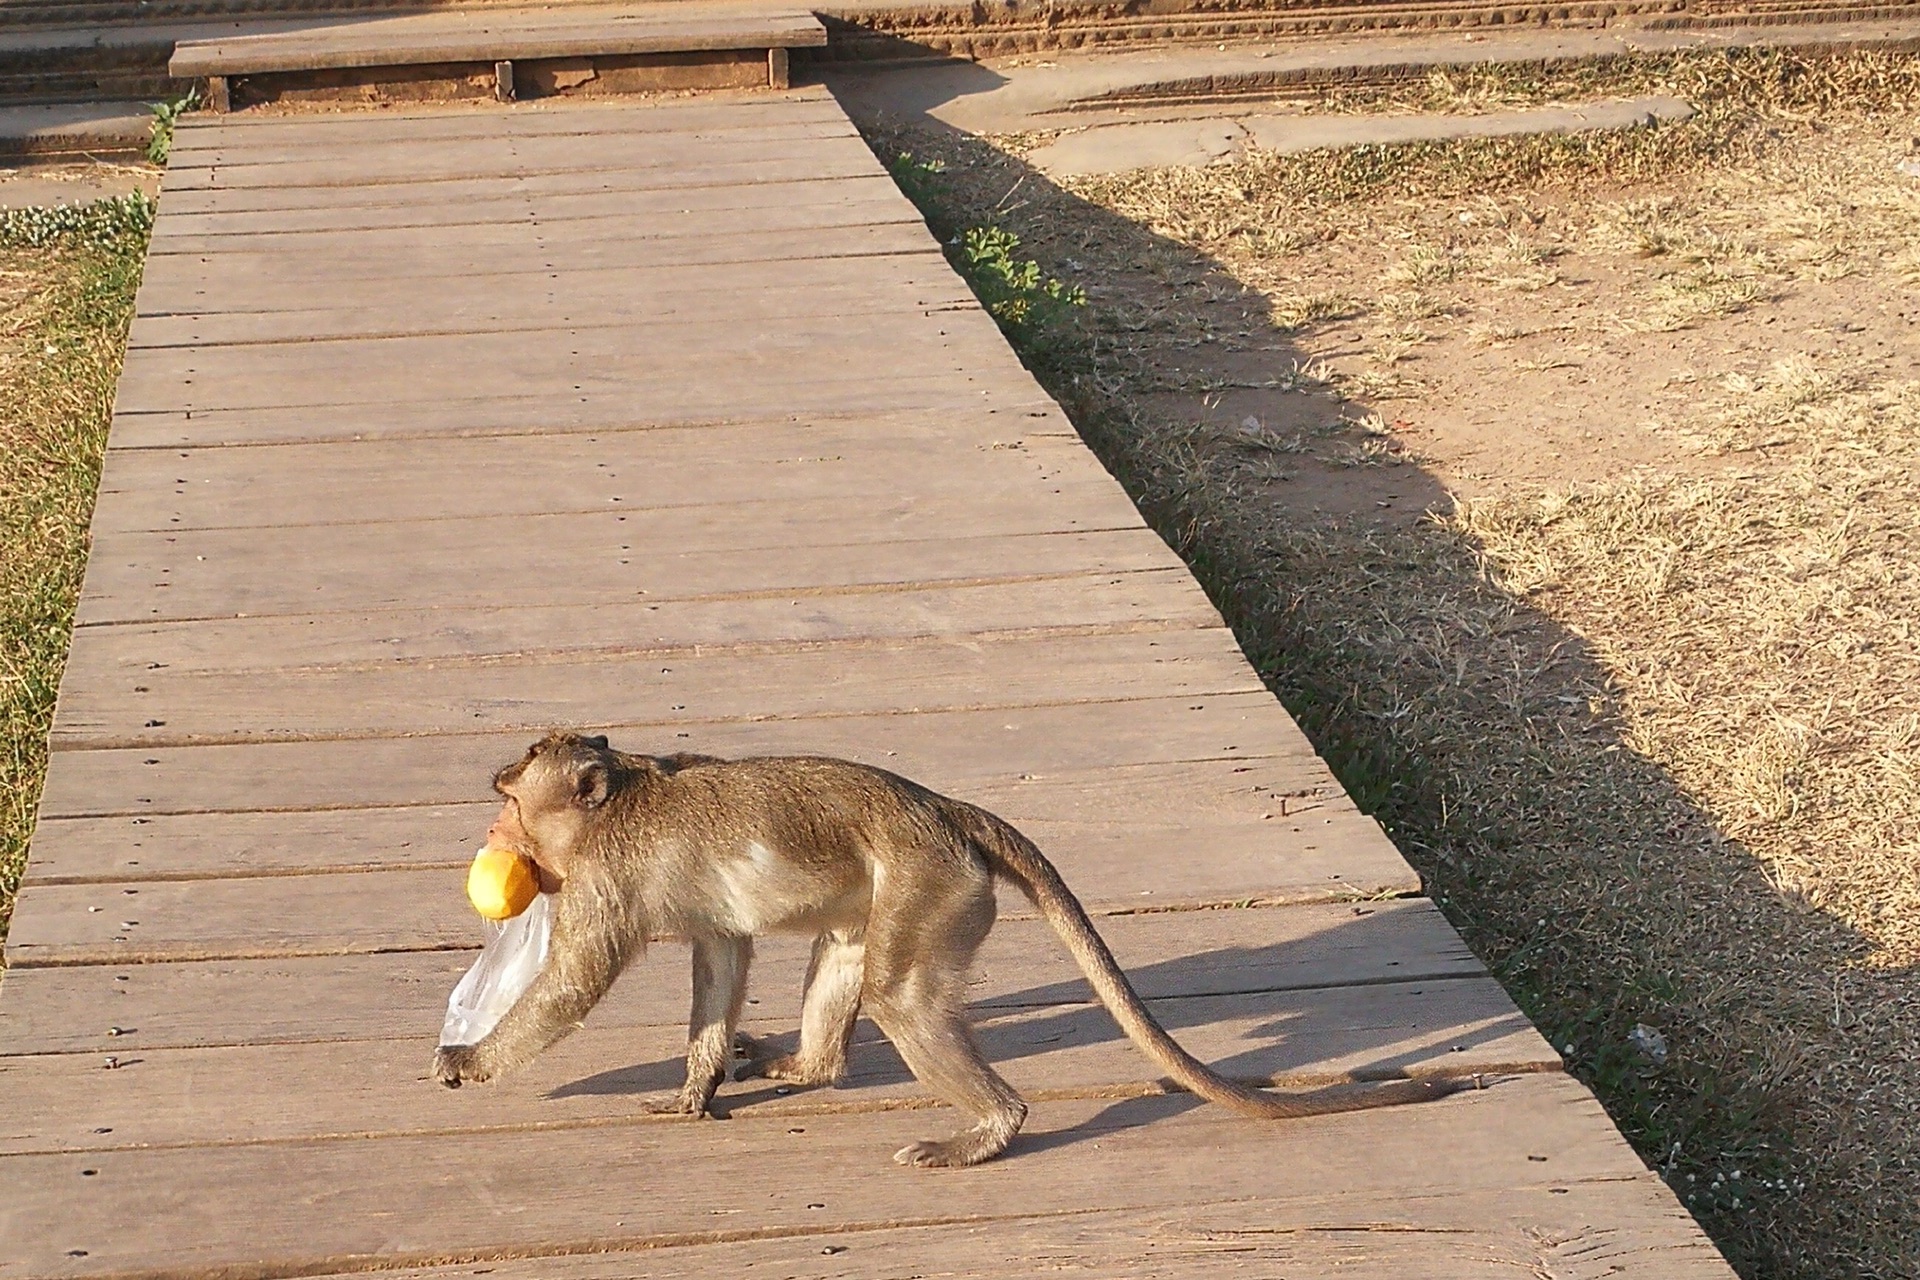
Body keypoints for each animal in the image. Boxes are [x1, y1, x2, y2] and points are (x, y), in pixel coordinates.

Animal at [432, 729, 1451, 1174]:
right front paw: (695, 1087)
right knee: (851, 949)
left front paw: (469, 1059)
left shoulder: (600, 883)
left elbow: (574, 983)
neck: (618, 798)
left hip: (936, 889)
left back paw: (990, 1129)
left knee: (900, 993)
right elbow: (720, 959)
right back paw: (809, 1067)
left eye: (510, 800)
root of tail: (946, 810)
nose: (491, 829)